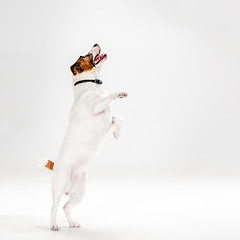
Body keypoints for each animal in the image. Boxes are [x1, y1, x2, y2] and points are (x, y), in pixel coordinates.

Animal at [42, 44, 127, 230]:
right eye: (83, 55)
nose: (95, 43)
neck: (92, 85)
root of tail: (56, 166)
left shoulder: (107, 119)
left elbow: (118, 119)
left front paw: (117, 132)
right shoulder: (97, 106)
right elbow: (109, 96)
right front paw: (120, 93)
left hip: (80, 192)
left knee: (66, 207)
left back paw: (72, 223)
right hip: (59, 186)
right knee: (54, 206)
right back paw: (54, 225)